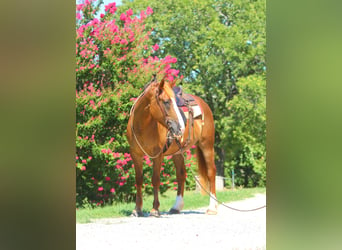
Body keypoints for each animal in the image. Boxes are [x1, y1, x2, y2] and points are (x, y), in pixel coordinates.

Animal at [125, 76, 216, 217]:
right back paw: (176, 207)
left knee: (211, 172)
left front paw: (155, 209)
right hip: (177, 152)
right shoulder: (135, 154)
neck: (143, 126)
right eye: (166, 102)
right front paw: (137, 209)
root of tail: (204, 104)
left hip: (207, 145)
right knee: (181, 175)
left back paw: (212, 208)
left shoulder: (158, 155)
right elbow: (139, 180)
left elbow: (155, 179)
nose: (180, 127)